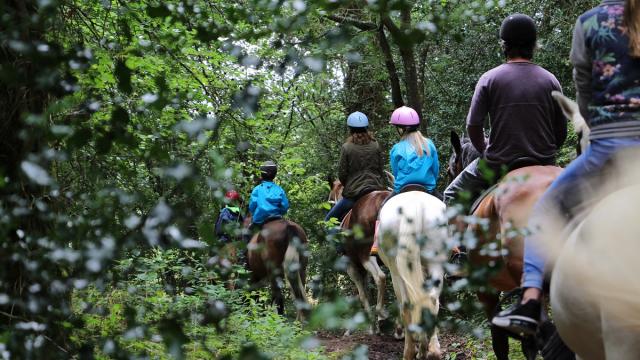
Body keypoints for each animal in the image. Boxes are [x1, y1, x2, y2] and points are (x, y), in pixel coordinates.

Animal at [328, 181, 392, 336]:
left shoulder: (352, 266)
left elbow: (362, 295)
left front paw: (370, 327)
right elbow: (367, 292)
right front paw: (374, 327)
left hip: (366, 256)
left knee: (381, 277)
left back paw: (382, 314)